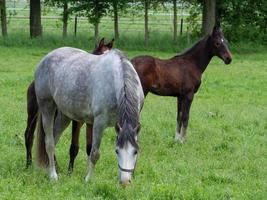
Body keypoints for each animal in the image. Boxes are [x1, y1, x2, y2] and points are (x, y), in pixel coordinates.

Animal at [23, 37, 114, 169]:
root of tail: (33, 83)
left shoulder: (91, 123)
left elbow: (89, 147)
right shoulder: (76, 122)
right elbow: (74, 147)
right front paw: (70, 171)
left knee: (52, 137)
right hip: (34, 113)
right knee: (30, 135)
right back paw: (29, 164)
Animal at [34, 47, 146, 186]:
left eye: (135, 151)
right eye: (117, 151)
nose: (125, 183)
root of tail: (46, 58)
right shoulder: (99, 122)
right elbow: (95, 153)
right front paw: (88, 179)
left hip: (64, 115)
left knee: (54, 139)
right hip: (47, 106)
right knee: (49, 143)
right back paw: (53, 175)